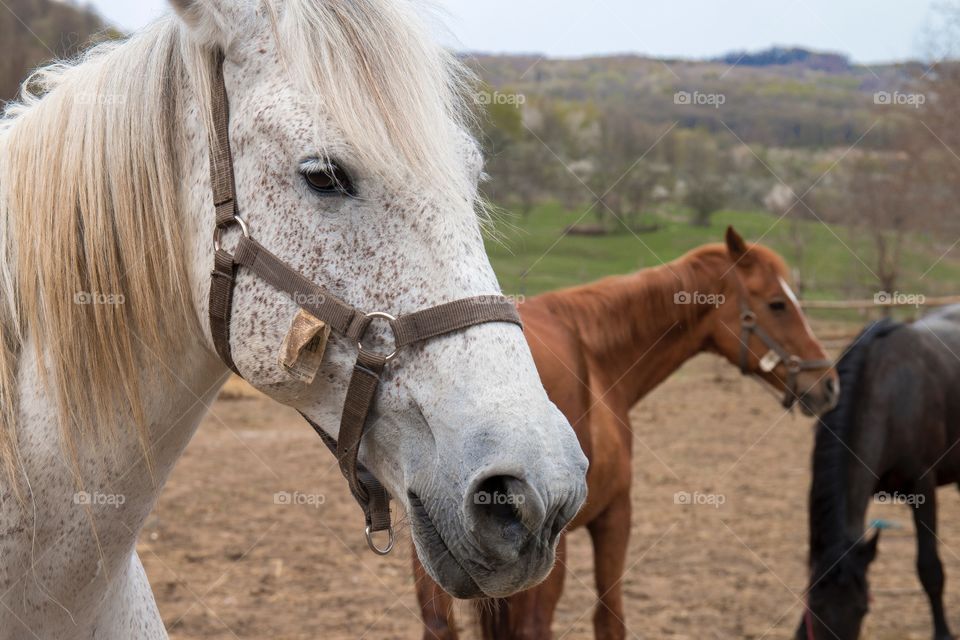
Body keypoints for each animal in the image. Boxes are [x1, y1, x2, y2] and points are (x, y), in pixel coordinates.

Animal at [412, 228, 840, 636]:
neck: (595, 353)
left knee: (439, 625)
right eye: (777, 304)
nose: (828, 383)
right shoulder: (615, 515)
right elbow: (610, 619)